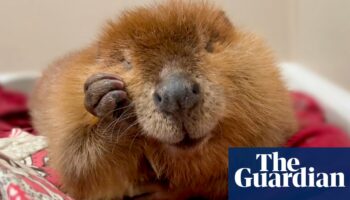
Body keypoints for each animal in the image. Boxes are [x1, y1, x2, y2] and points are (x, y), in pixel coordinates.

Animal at [30, 0, 296, 199]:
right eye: (126, 61)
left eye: (208, 45)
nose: (176, 94)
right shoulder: (64, 110)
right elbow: (79, 170)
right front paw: (106, 96)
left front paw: (159, 191)